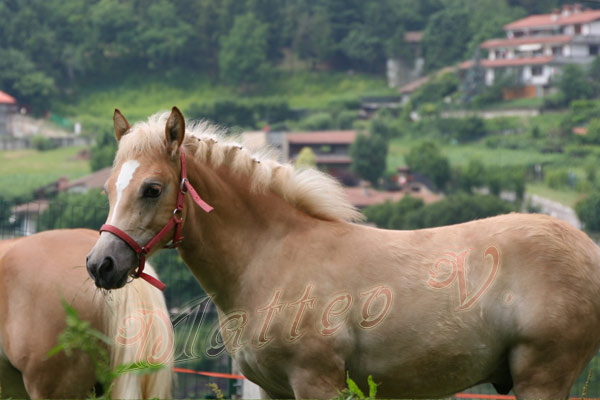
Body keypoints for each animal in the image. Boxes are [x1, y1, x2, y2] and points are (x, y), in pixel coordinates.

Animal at [86, 107, 600, 400]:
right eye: (110, 188)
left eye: (153, 189)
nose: (100, 264)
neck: (273, 256)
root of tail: (588, 249)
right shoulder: (273, 391)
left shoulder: (317, 383)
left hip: (542, 378)